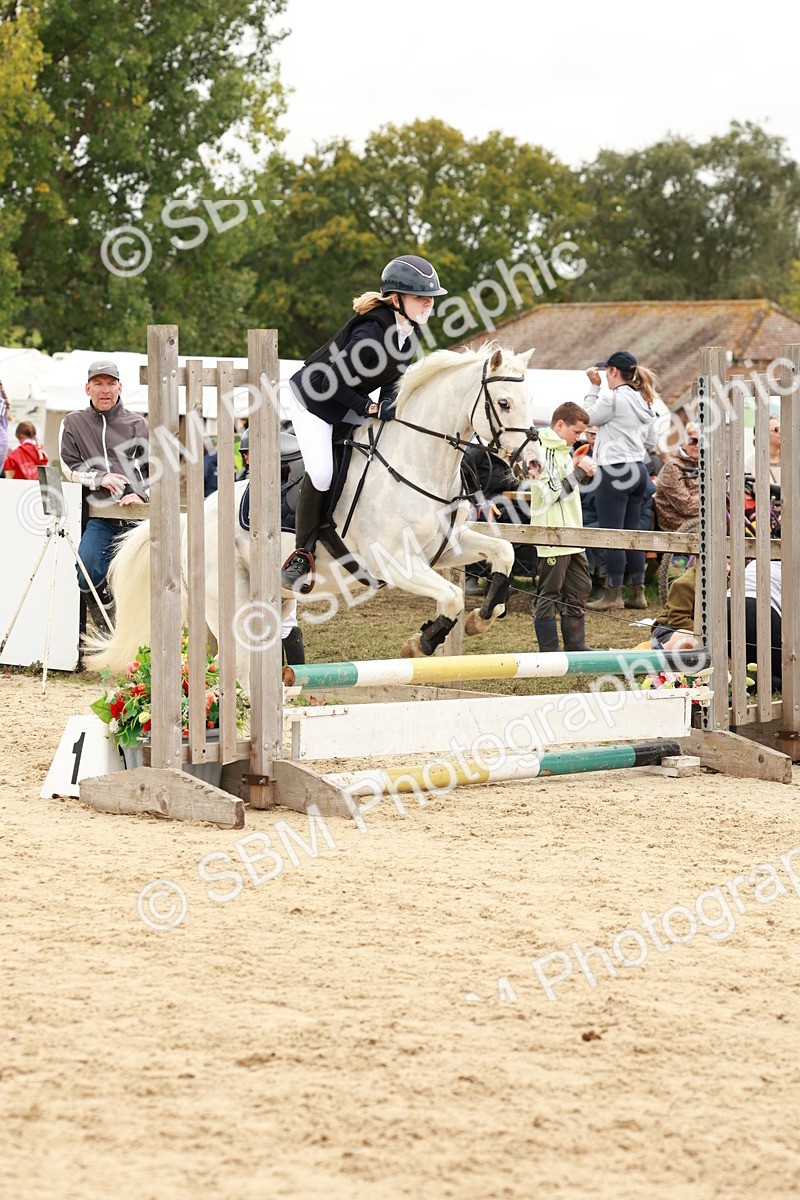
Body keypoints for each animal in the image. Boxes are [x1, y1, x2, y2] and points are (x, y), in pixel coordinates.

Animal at [84, 344, 544, 690]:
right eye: (504, 403)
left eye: (529, 402)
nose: (535, 465)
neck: (413, 462)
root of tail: (188, 520)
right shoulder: (394, 563)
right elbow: (450, 596)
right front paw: (420, 645)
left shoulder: (446, 548)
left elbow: (502, 553)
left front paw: (483, 618)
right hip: (230, 600)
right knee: (238, 666)